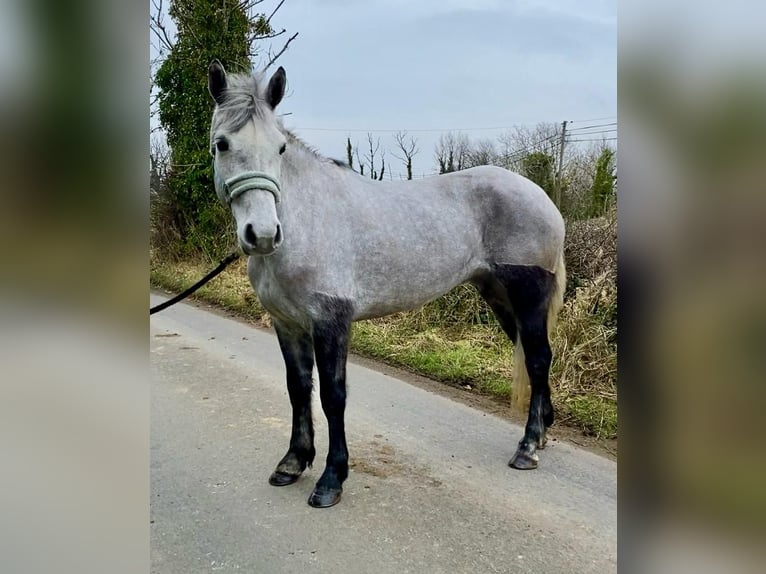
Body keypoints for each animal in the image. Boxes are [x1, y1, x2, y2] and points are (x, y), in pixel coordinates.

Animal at [207, 59, 568, 508]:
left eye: (280, 148)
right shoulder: (287, 325)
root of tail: (543, 198)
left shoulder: (331, 321)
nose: (262, 234)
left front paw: (331, 479)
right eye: (221, 144)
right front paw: (293, 462)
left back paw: (528, 447)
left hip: (528, 295)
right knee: (533, 356)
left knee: (537, 359)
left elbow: (333, 397)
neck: (307, 219)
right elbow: (298, 388)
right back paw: (543, 432)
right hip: (500, 297)